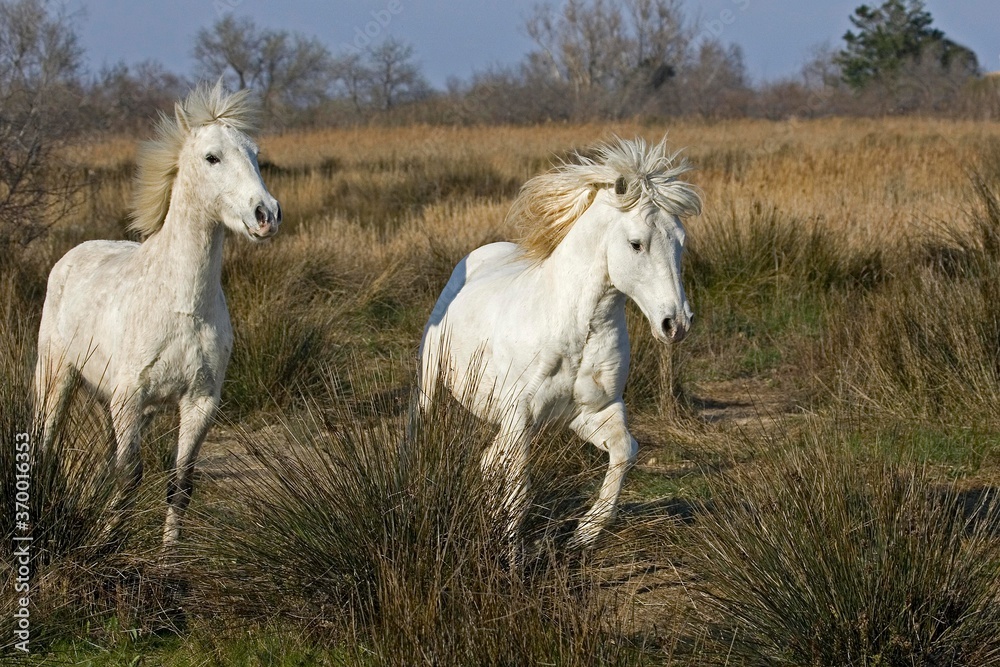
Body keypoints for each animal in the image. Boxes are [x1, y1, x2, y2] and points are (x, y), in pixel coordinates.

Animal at [35, 81, 282, 544]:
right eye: (212, 157)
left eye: (255, 154)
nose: (267, 215)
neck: (183, 305)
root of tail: (70, 256)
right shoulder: (129, 398)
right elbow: (130, 476)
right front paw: (106, 542)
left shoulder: (199, 402)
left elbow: (178, 483)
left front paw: (169, 554)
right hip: (57, 375)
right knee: (46, 442)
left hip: (123, 406)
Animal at [418, 137, 700, 552]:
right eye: (636, 244)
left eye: (681, 242)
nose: (676, 324)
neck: (574, 332)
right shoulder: (519, 418)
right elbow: (519, 493)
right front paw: (510, 558)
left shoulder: (592, 412)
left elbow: (625, 452)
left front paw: (585, 533)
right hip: (430, 382)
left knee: (488, 461)